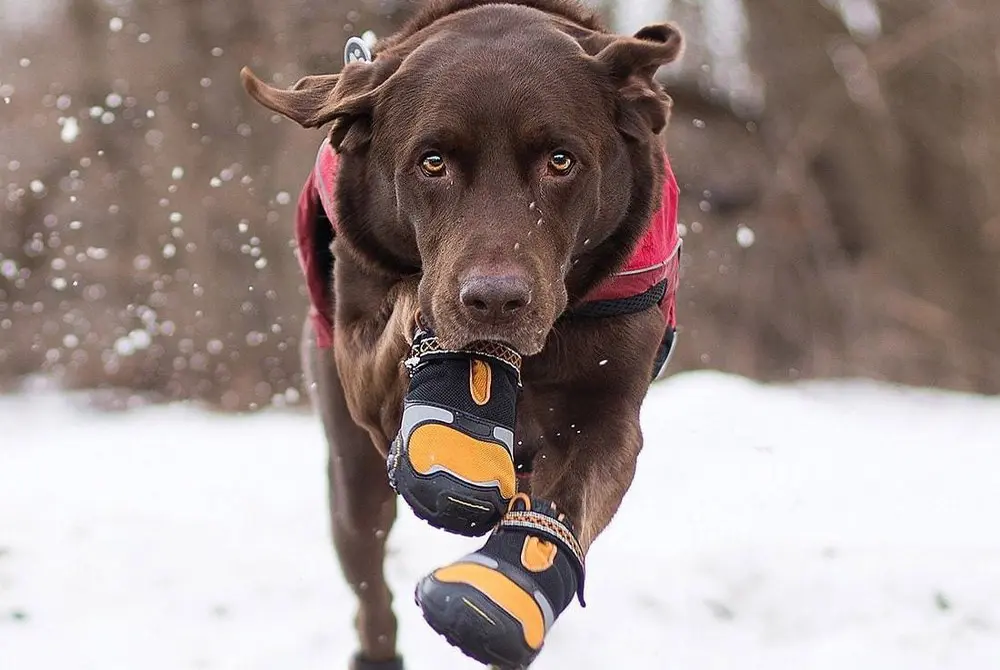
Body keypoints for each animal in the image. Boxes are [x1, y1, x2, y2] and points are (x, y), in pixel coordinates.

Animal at [241, 2, 684, 668]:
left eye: (561, 161)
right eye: (432, 162)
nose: (494, 299)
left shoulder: (608, 411)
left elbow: (571, 495)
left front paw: (500, 594)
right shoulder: (359, 351)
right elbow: (411, 319)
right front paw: (456, 426)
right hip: (350, 472)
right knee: (369, 576)